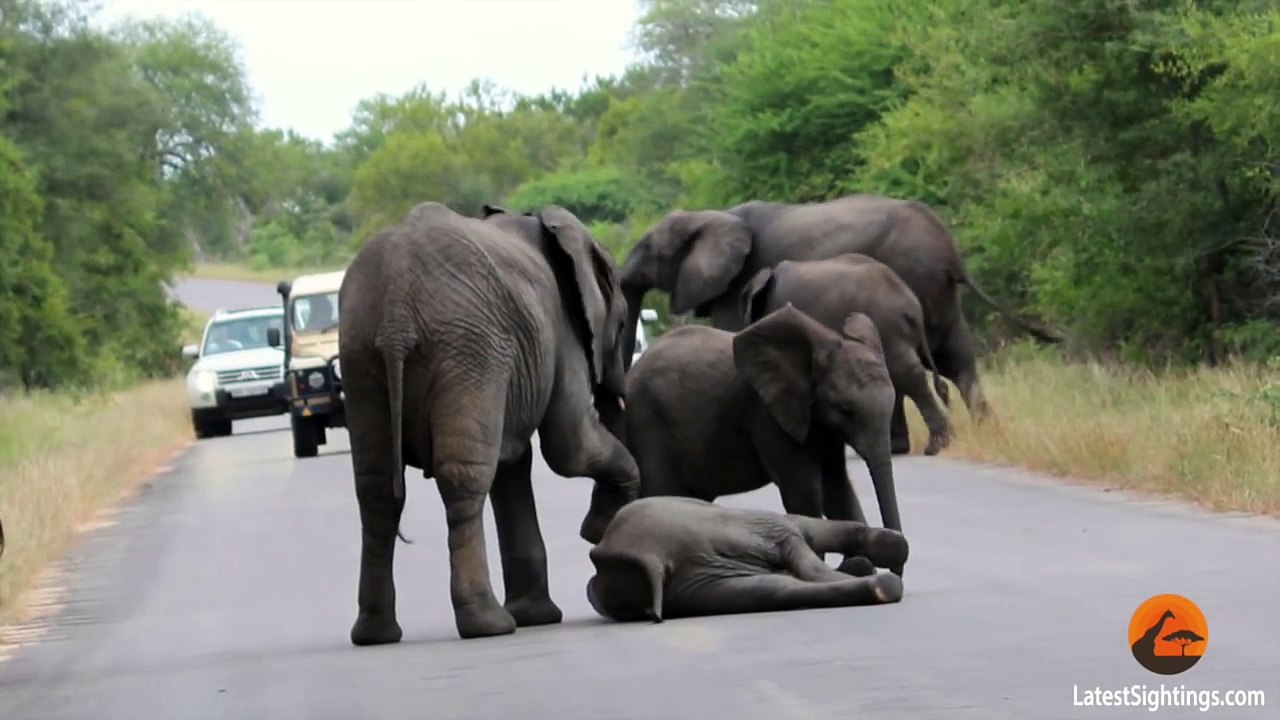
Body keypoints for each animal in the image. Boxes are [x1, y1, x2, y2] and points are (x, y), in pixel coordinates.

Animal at [338, 201, 640, 644]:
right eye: (620, 325)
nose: (594, 534)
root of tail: (396, 314)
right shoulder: (560, 329)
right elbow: (568, 446)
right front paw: (599, 527)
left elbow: (512, 464)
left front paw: (537, 616)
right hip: (468, 350)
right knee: (463, 481)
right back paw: (489, 625)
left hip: (361, 357)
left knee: (375, 490)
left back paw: (375, 634)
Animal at [622, 304, 905, 577]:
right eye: (845, 409)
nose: (897, 566)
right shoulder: (767, 415)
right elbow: (805, 492)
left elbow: (837, 488)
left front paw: (861, 565)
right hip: (647, 421)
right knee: (661, 492)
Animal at [740, 253, 953, 456]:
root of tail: (913, 308)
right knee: (897, 376)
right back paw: (899, 448)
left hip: (886, 325)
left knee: (905, 373)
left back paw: (934, 447)